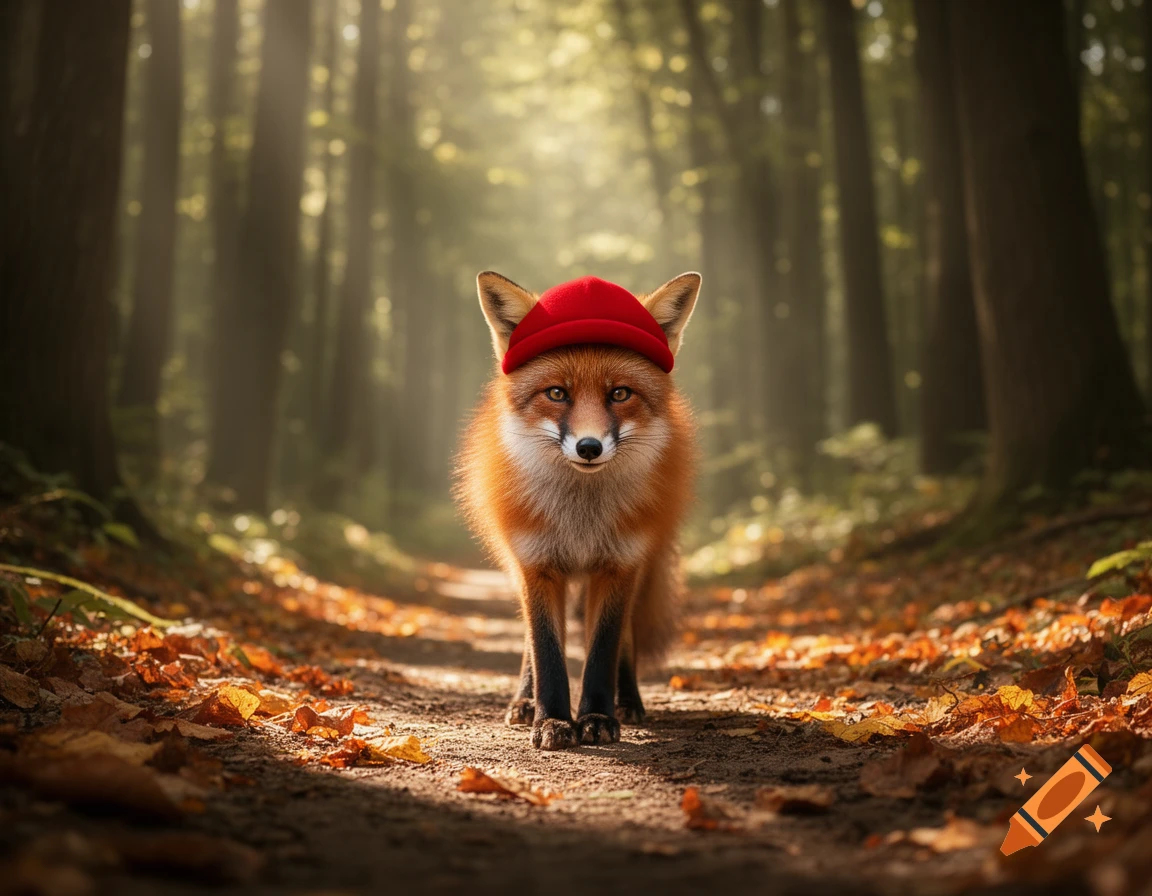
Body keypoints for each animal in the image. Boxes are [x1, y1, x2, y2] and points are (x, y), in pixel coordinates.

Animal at [455, 270, 701, 750]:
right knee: (529, 642)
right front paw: (551, 719)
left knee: (624, 639)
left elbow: (603, 649)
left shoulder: (619, 563)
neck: (580, 523)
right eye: (557, 393)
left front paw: (598, 717)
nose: (589, 447)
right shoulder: (536, 564)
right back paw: (524, 701)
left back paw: (628, 701)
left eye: (620, 394)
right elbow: (546, 650)